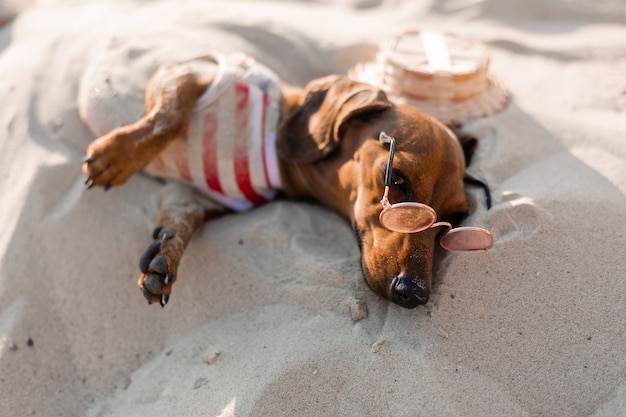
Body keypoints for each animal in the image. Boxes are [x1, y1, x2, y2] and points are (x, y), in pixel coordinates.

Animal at [81, 53, 482, 308]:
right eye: (396, 179)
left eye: (456, 219)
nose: (414, 294)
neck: (272, 144)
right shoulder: (189, 70)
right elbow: (168, 118)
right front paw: (116, 154)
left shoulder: (195, 195)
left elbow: (181, 221)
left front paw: (165, 256)